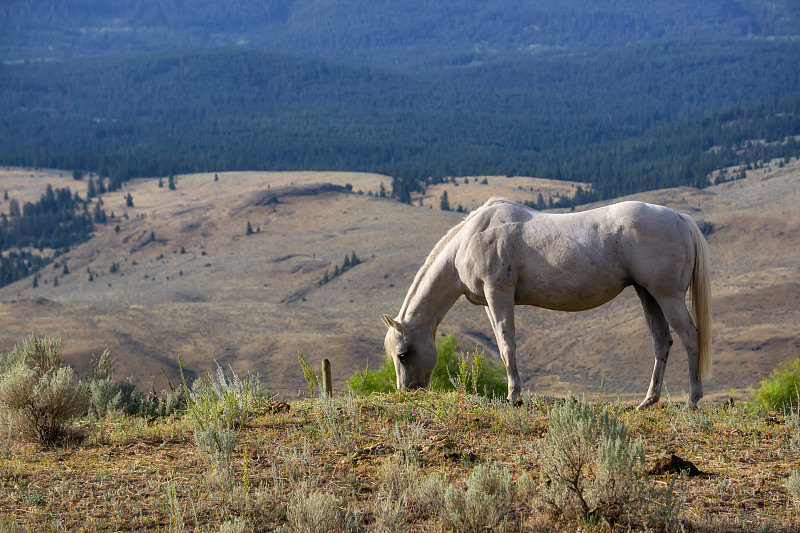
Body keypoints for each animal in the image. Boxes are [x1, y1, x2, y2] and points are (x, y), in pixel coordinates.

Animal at [382, 197, 712, 410]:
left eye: (402, 354)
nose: (408, 392)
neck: (470, 239)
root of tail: (679, 219)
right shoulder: (490, 302)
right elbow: (502, 344)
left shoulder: (499, 293)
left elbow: (507, 343)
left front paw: (514, 395)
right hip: (648, 294)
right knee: (662, 341)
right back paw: (648, 401)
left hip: (667, 296)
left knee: (690, 337)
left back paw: (693, 400)